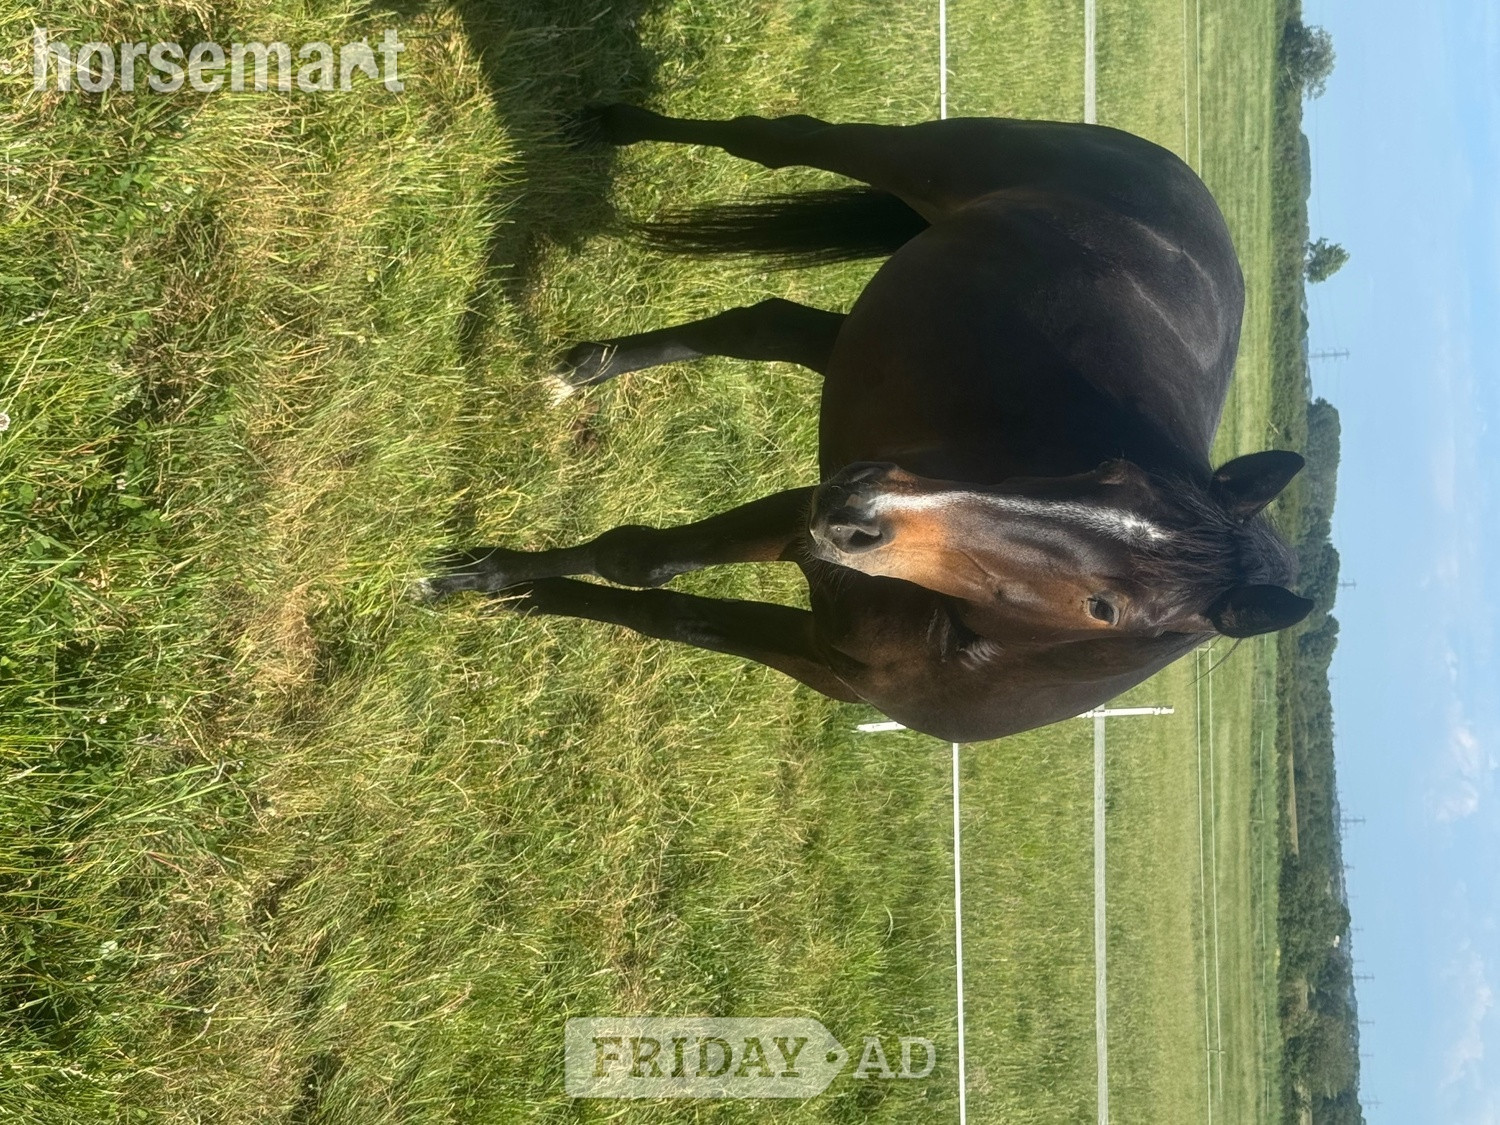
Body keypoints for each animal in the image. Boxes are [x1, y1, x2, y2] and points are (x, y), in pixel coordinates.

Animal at [420, 105, 1313, 743]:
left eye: (1107, 609)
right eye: (1105, 469)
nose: (861, 510)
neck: (958, 637)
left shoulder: (822, 648)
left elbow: (662, 603)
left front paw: (517, 595)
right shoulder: (812, 511)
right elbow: (640, 558)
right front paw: (478, 576)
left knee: (766, 326)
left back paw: (587, 367)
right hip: (915, 158)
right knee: (781, 139)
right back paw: (609, 126)